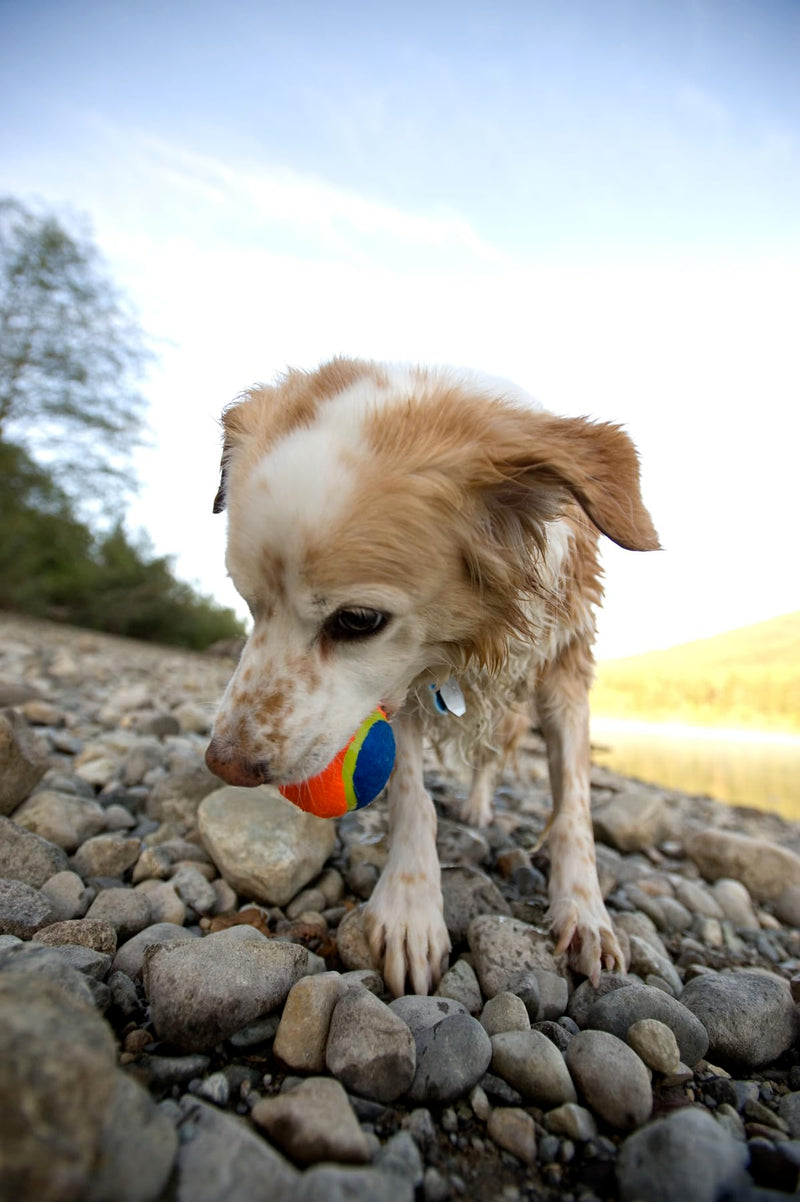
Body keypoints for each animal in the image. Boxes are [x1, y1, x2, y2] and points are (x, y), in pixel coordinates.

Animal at [204, 355, 653, 995]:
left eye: (358, 620)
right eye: (248, 601)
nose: (226, 764)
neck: (465, 639)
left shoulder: (565, 664)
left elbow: (574, 803)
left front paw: (585, 912)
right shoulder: (401, 688)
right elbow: (413, 796)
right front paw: (411, 912)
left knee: (493, 757)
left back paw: (480, 806)